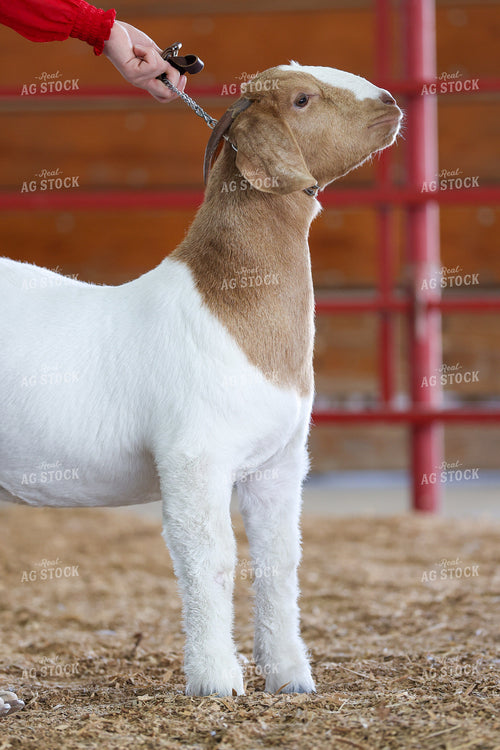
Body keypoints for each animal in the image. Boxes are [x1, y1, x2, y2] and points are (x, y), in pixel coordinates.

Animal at [0, 62, 402, 699]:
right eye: (303, 99)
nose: (390, 101)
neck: (230, 304)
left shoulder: (279, 462)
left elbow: (279, 560)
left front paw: (290, 676)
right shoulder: (195, 457)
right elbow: (209, 558)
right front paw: (217, 679)